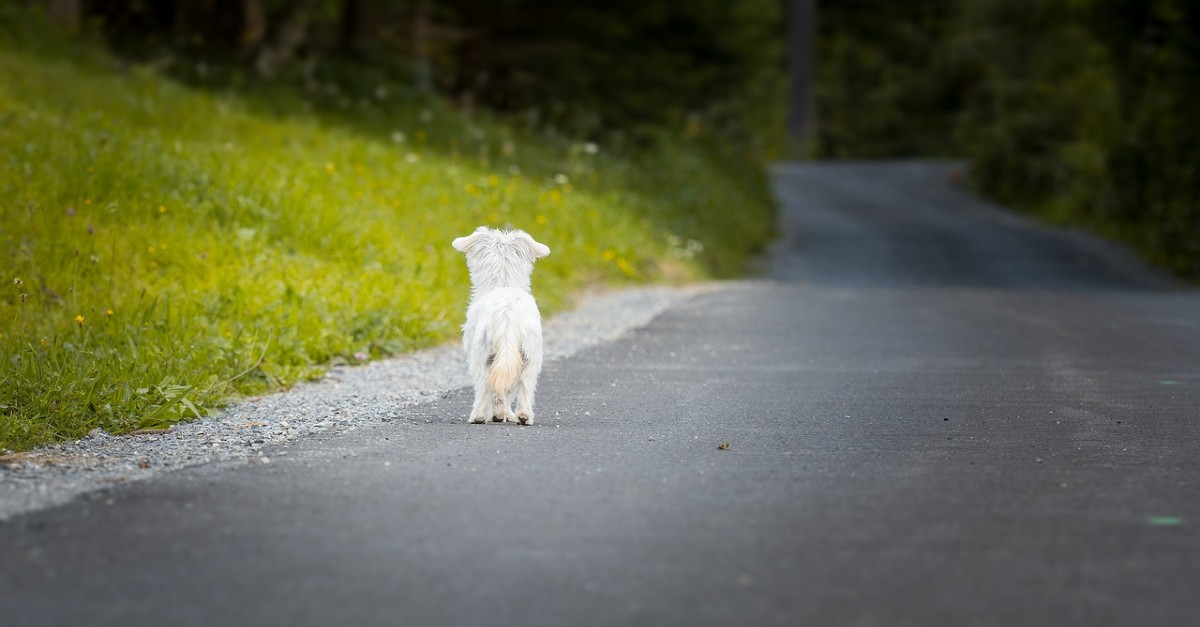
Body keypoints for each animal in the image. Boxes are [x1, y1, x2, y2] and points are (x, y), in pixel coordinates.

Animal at [451, 225, 549, 425]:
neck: (502, 283)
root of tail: (507, 314)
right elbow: (506, 389)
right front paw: (504, 414)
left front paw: (499, 414)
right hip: (531, 356)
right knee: (525, 386)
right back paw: (524, 416)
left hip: (480, 355)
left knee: (483, 386)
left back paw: (479, 416)